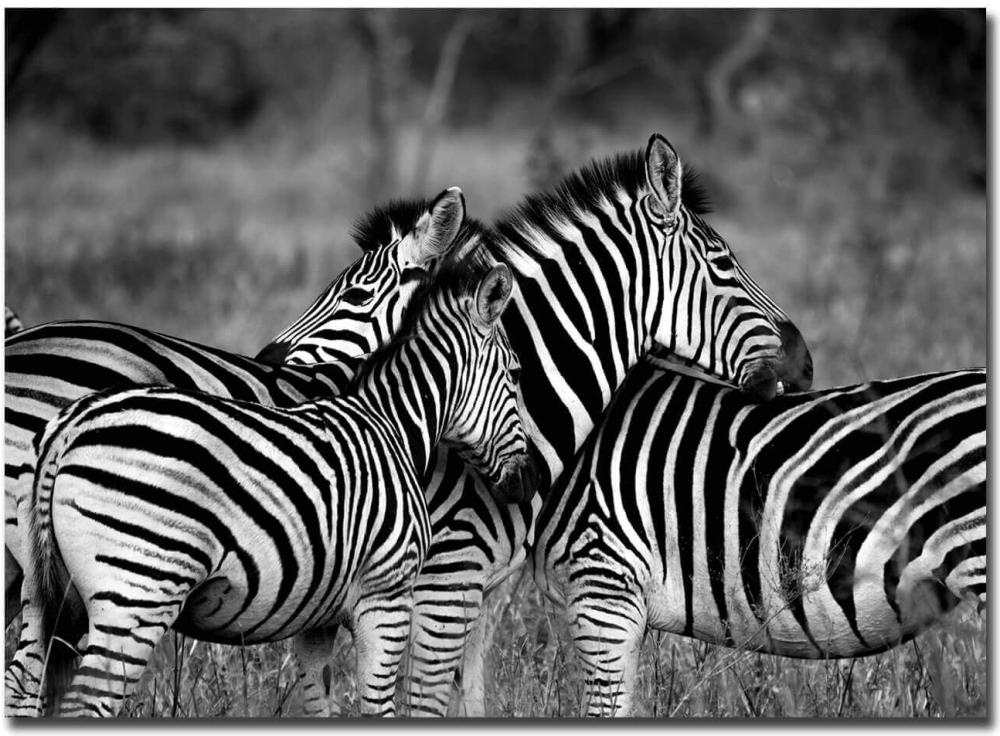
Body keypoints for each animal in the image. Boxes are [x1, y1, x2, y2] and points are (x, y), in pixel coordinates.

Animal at [11, 245, 533, 718]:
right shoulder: (385, 595)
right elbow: (379, 708)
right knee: (86, 702)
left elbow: (321, 702)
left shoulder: (317, 615)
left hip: (45, 596)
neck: (391, 425)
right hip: (136, 593)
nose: (527, 483)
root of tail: (68, 428)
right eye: (514, 373)